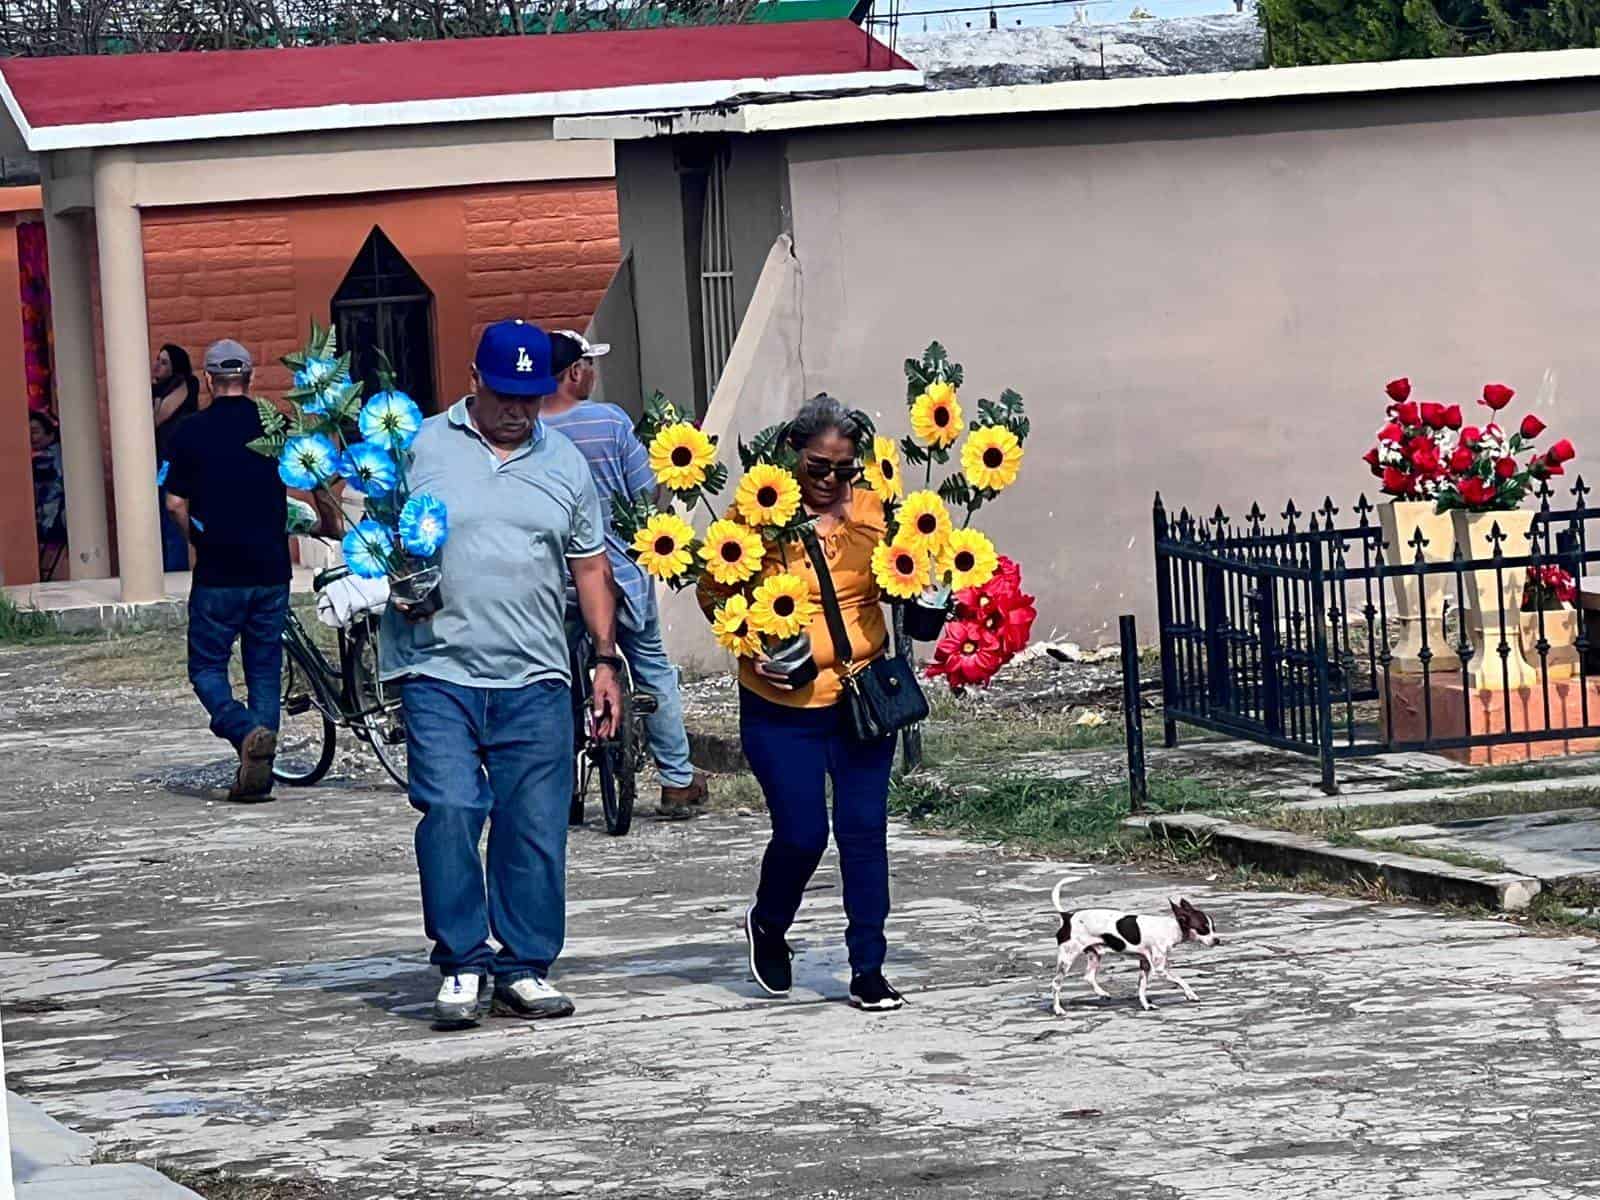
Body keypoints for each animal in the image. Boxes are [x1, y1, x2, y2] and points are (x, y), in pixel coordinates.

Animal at [1056, 883, 1216, 1017]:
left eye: (1213, 928)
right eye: (1204, 930)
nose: (1217, 940)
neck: (1172, 929)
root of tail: (1068, 917)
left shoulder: (1145, 965)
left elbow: (1141, 988)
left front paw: (1146, 1006)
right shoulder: (1159, 969)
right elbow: (1180, 980)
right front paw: (1191, 994)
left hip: (1094, 955)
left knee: (1088, 976)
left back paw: (1103, 993)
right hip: (1067, 959)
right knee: (1056, 984)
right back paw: (1058, 1009)